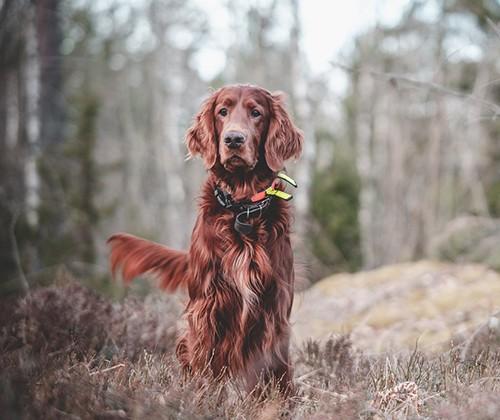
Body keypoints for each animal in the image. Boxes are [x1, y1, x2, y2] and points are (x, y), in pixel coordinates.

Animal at [108, 85, 302, 394]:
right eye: (222, 111)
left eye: (256, 112)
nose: (234, 139)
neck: (241, 207)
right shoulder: (207, 304)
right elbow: (206, 360)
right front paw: (202, 398)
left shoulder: (275, 305)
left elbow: (272, 367)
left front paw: (274, 401)